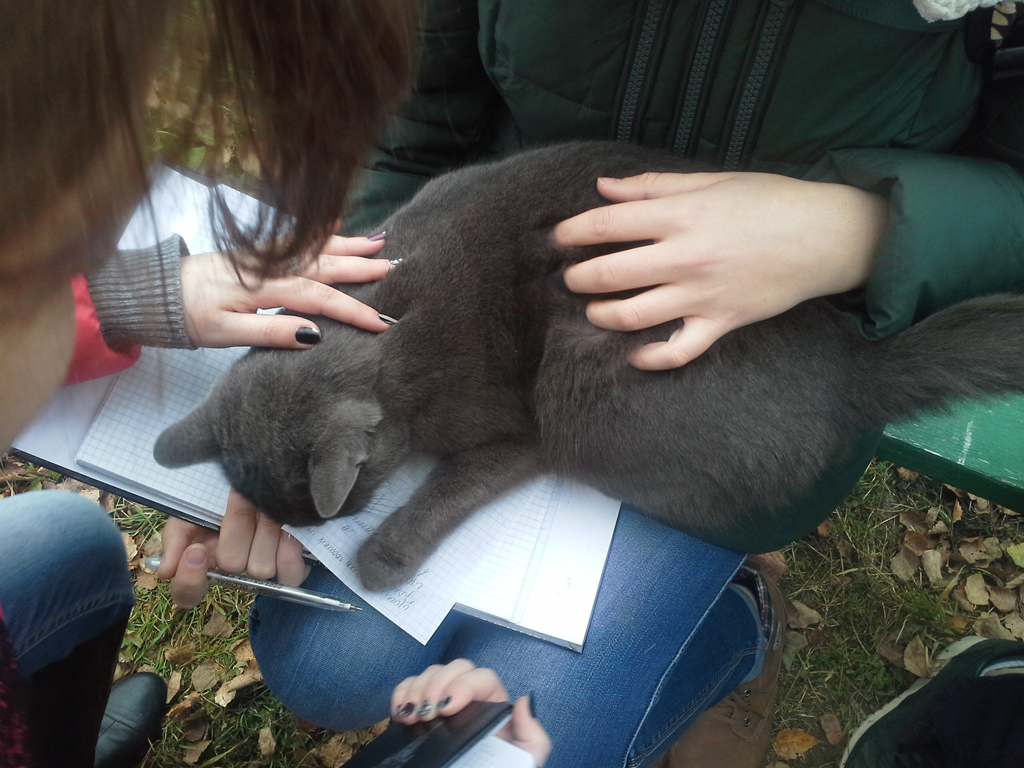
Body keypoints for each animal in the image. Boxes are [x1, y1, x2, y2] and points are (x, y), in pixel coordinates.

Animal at [154, 141, 1024, 591]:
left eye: (354, 497)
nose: (328, 531)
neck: (383, 317)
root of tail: (856, 362)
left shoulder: (516, 431)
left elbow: (451, 487)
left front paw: (380, 558)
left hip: (588, 378)